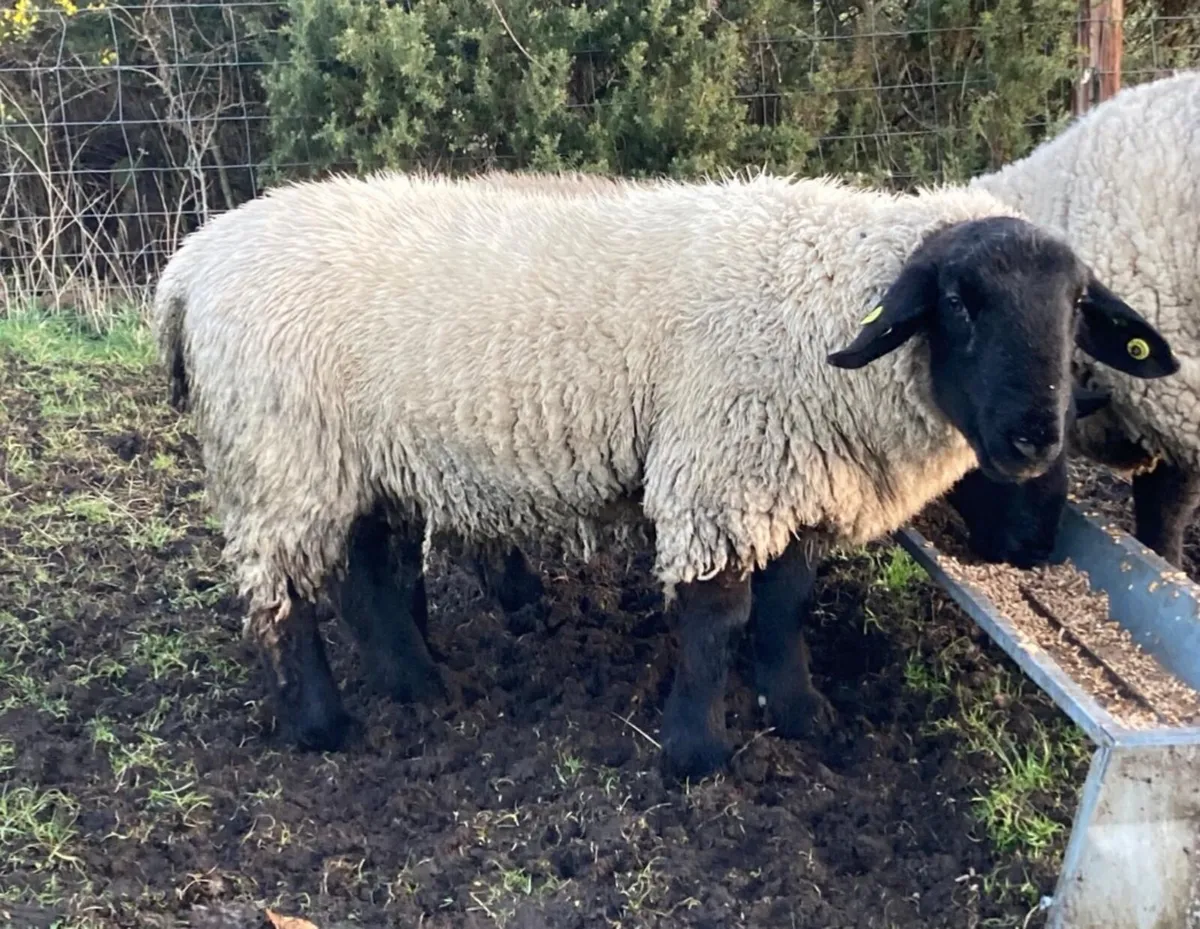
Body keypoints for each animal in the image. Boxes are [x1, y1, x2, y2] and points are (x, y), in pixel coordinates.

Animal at [153, 169, 1179, 779]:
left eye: (1076, 307)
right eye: (960, 302)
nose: (1033, 440)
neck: (822, 311)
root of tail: (189, 267)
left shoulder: (787, 474)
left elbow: (785, 606)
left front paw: (802, 715)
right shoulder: (721, 469)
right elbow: (714, 615)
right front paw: (696, 750)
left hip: (356, 457)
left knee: (370, 571)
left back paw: (418, 684)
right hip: (280, 455)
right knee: (280, 596)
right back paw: (321, 723)